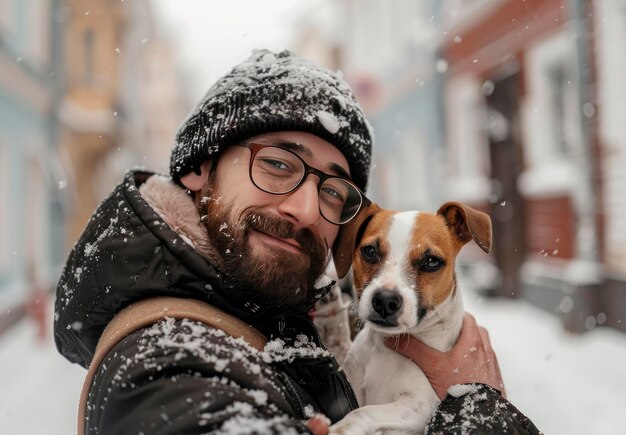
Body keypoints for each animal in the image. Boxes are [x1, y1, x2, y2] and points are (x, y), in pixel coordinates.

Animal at [322, 203, 492, 434]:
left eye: (431, 261)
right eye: (370, 251)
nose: (385, 301)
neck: (384, 348)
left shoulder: (420, 404)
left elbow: (363, 412)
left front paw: (341, 428)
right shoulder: (353, 379)